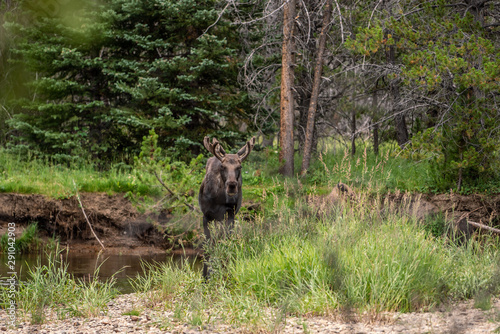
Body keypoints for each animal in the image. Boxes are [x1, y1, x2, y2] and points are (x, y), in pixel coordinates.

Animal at [198, 135, 256, 276]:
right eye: (222, 166)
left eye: (239, 167)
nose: (232, 185)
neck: (218, 199)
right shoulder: (206, 215)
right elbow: (208, 245)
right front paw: (205, 275)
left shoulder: (230, 213)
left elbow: (227, 240)